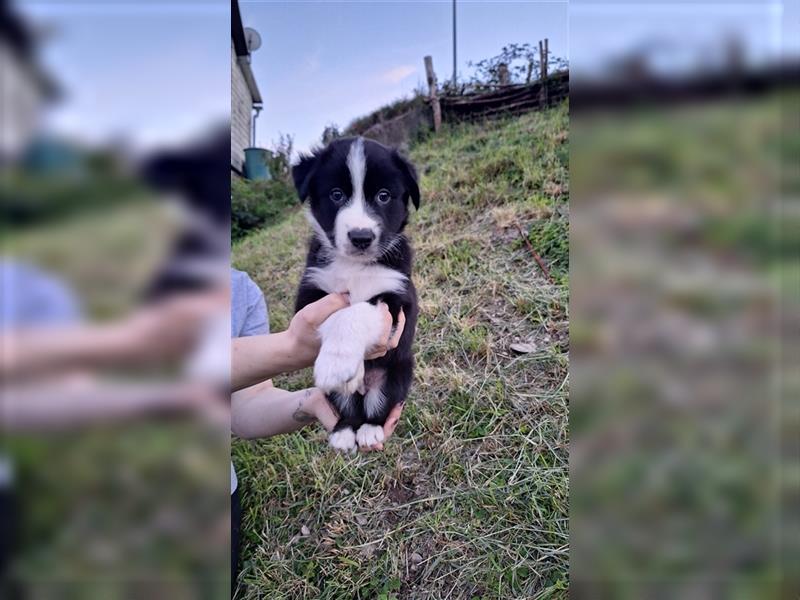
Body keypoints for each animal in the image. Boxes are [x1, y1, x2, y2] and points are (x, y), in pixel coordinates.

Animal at [292, 136, 418, 452]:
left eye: (384, 196)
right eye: (336, 195)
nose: (361, 237)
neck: (355, 266)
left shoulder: (396, 299)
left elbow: (356, 311)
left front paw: (337, 363)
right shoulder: (311, 294)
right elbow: (338, 311)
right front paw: (343, 367)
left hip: (397, 372)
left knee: (376, 407)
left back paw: (370, 430)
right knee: (347, 410)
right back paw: (343, 432)